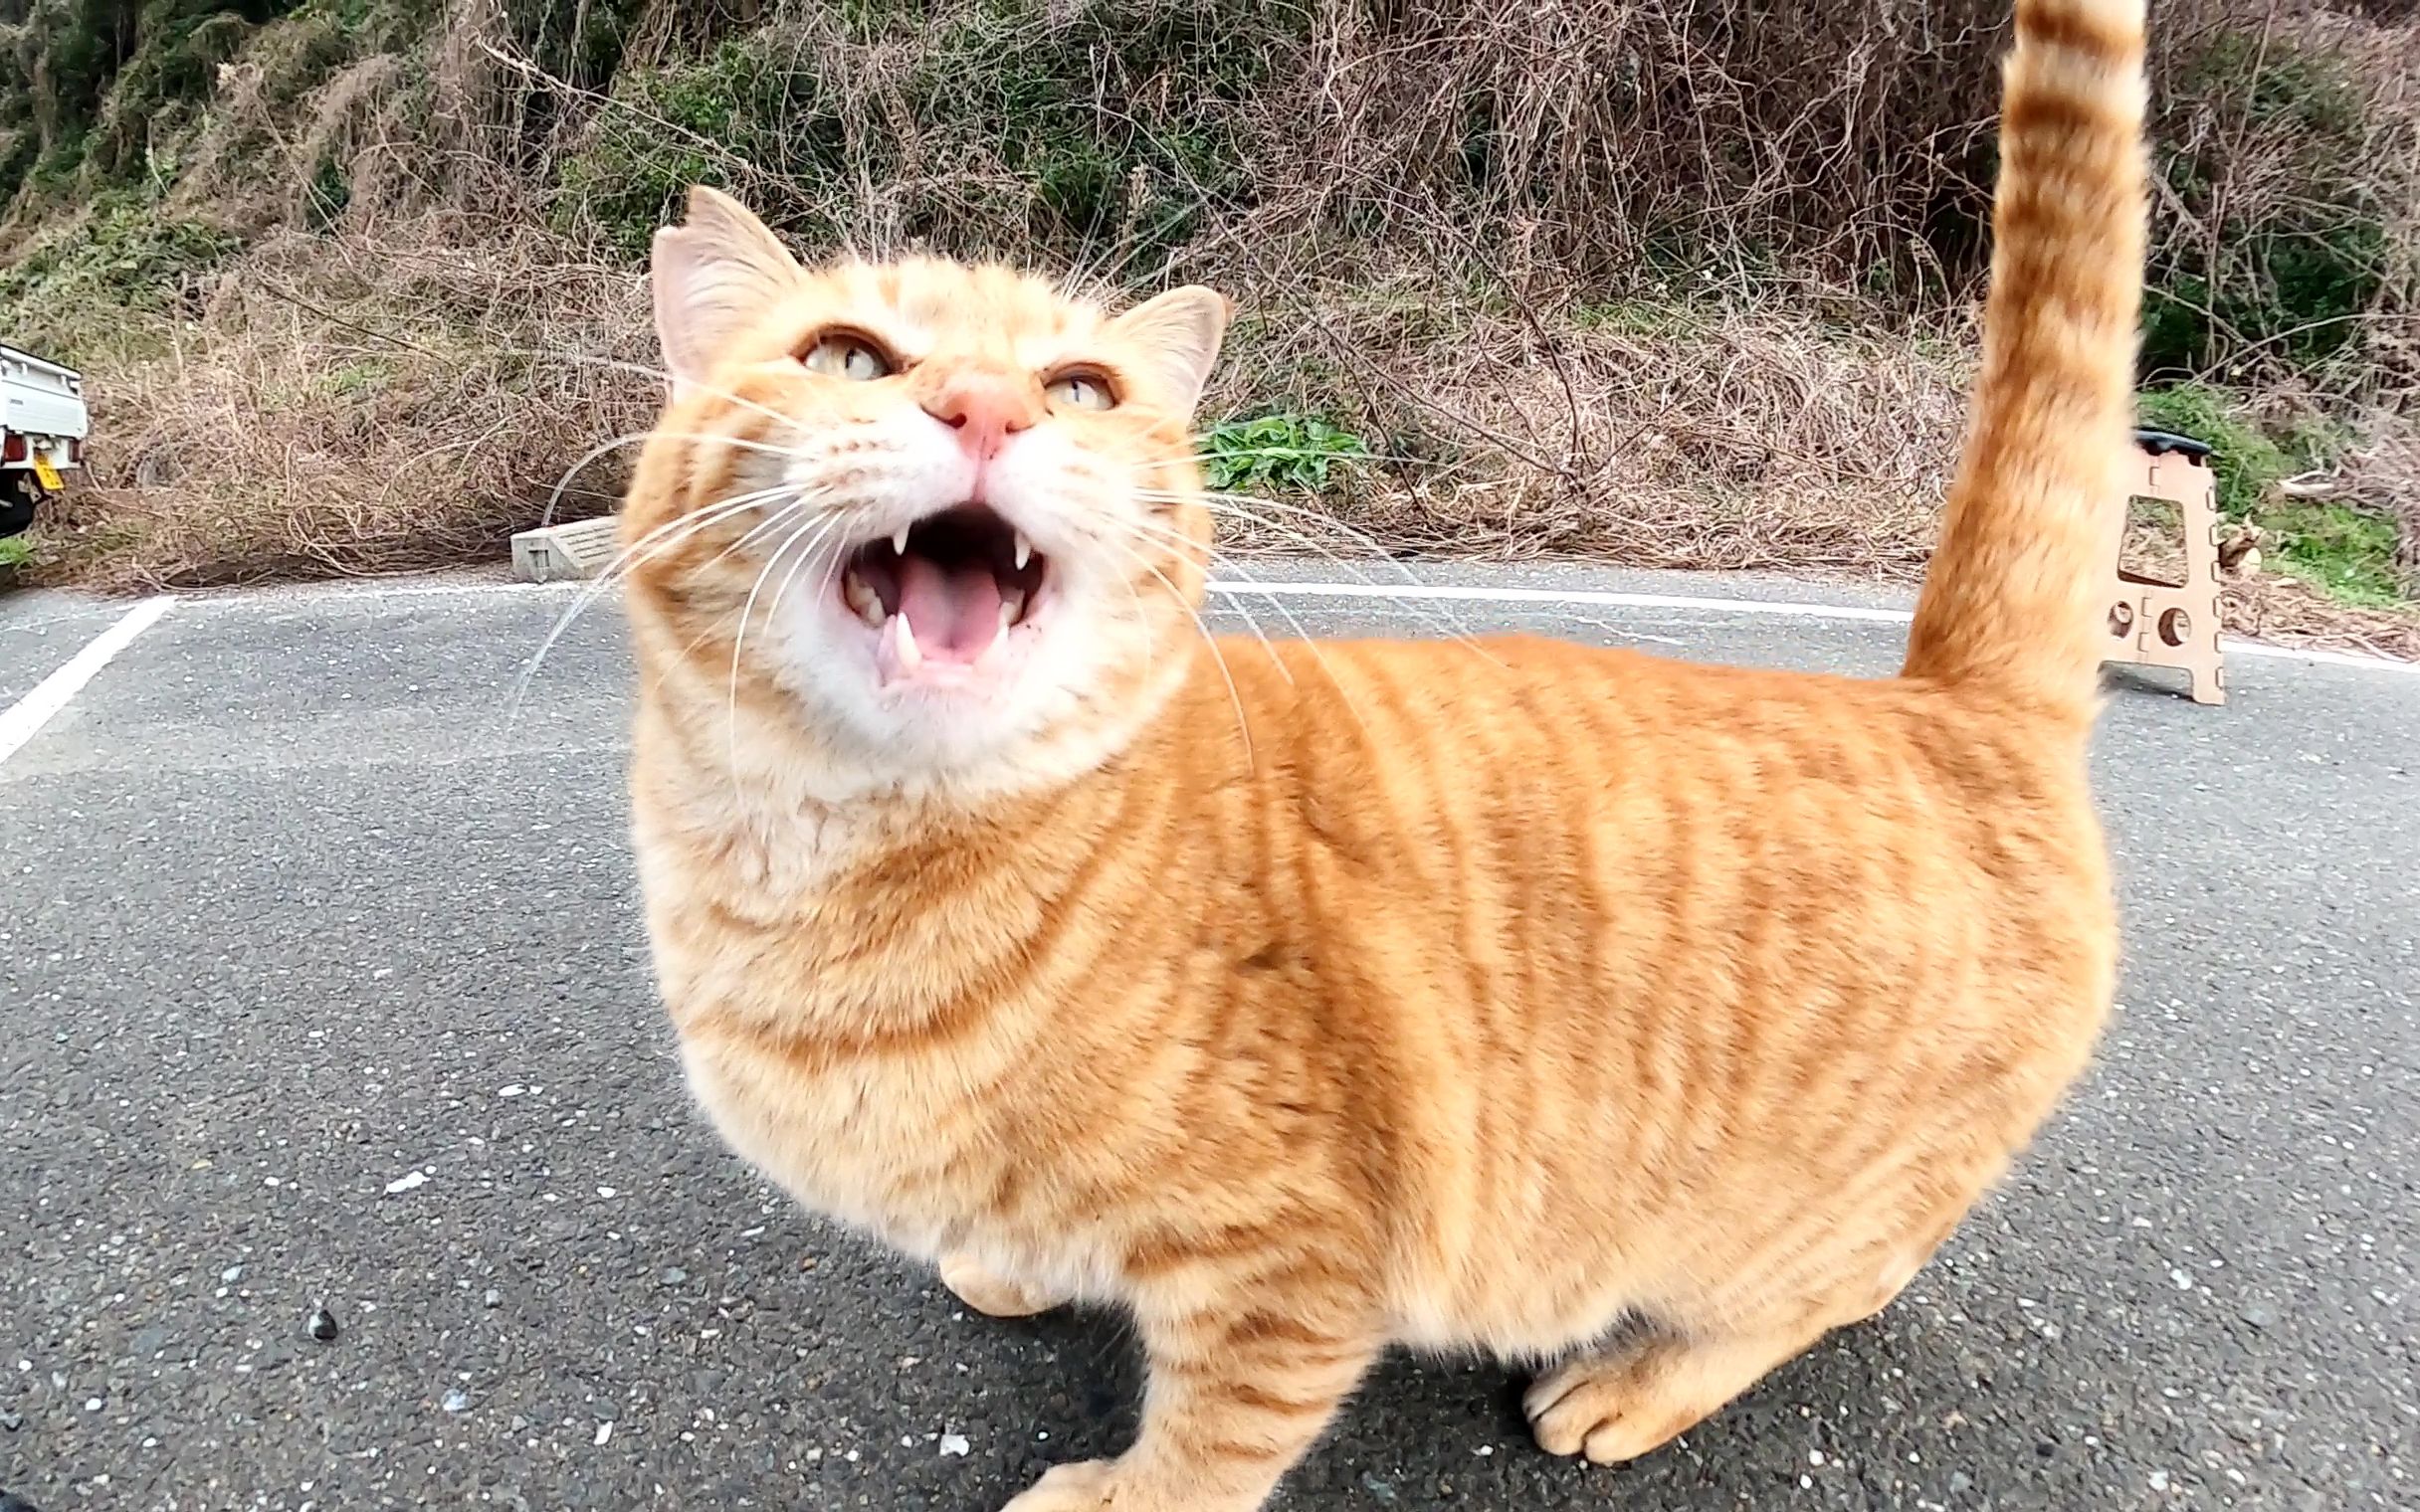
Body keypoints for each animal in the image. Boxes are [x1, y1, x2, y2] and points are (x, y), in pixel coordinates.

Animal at [614, 5, 2148, 1499]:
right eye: (846, 356)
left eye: (1081, 388)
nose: (986, 406)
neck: (818, 872)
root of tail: (1946, 700)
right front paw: (1011, 1263)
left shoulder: (1292, 1270)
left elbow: (1205, 1450)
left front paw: (1112, 1485)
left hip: (1778, 1223)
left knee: (1832, 1286)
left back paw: (1634, 1382)